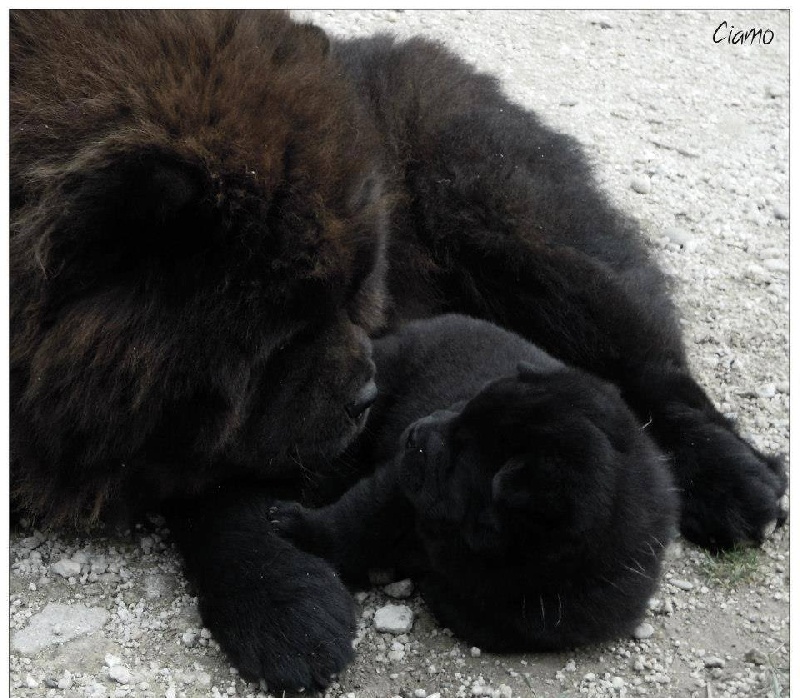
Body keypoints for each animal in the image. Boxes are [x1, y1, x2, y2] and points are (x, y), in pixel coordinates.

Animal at [271, 314, 679, 652]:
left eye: (459, 457)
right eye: (461, 408)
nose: (413, 432)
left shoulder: (550, 618)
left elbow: (480, 613)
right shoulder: (400, 485)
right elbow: (355, 521)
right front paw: (296, 527)